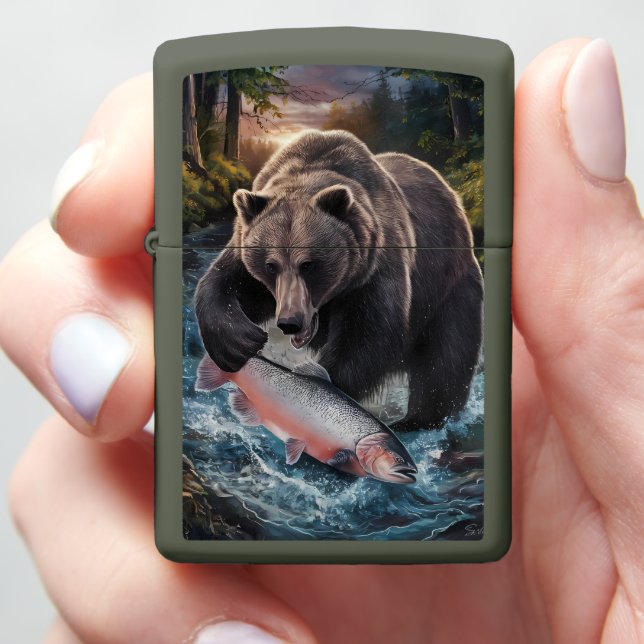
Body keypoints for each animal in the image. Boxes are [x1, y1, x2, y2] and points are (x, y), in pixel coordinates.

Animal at [194, 129, 483, 430]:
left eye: (309, 264)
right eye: (270, 266)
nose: (289, 321)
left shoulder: (376, 265)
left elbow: (371, 333)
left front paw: (324, 388)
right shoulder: (248, 252)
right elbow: (226, 284)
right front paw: (239, 343)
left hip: (448, 287)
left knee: (445, 356)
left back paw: (416, 420)